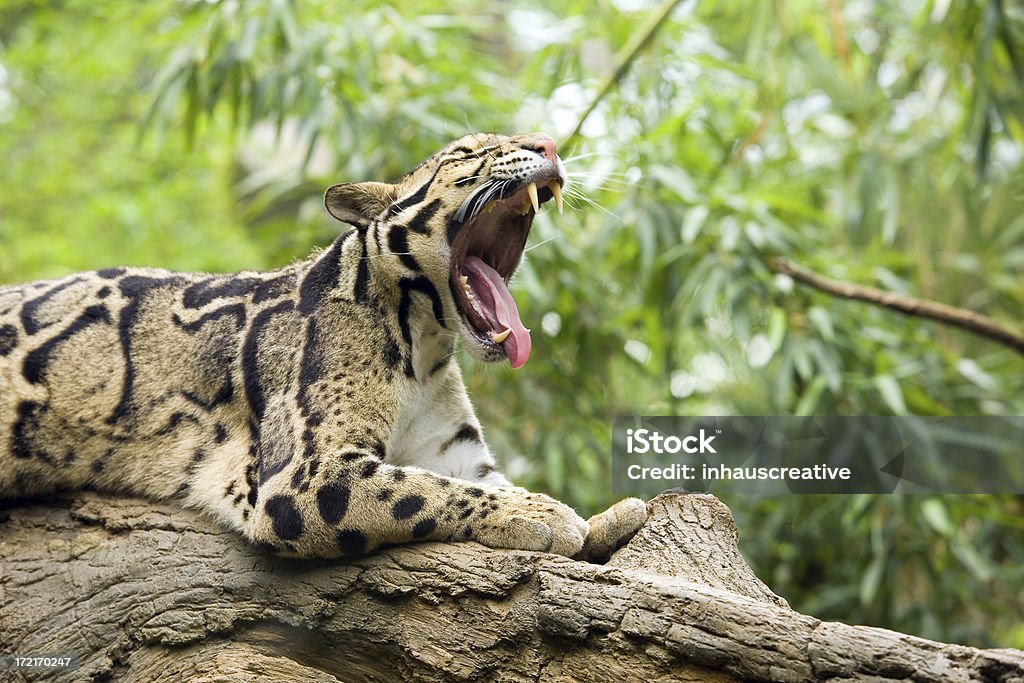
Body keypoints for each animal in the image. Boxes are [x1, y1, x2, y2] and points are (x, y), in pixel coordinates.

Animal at [2, 132, 647, 561]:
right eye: (468, 153)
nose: (550, 143)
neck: (424, 350)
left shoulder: (454, 451)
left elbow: (470, 482)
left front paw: (604, 518)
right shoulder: (304, 475)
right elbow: (422, 491)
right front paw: (545, 514)